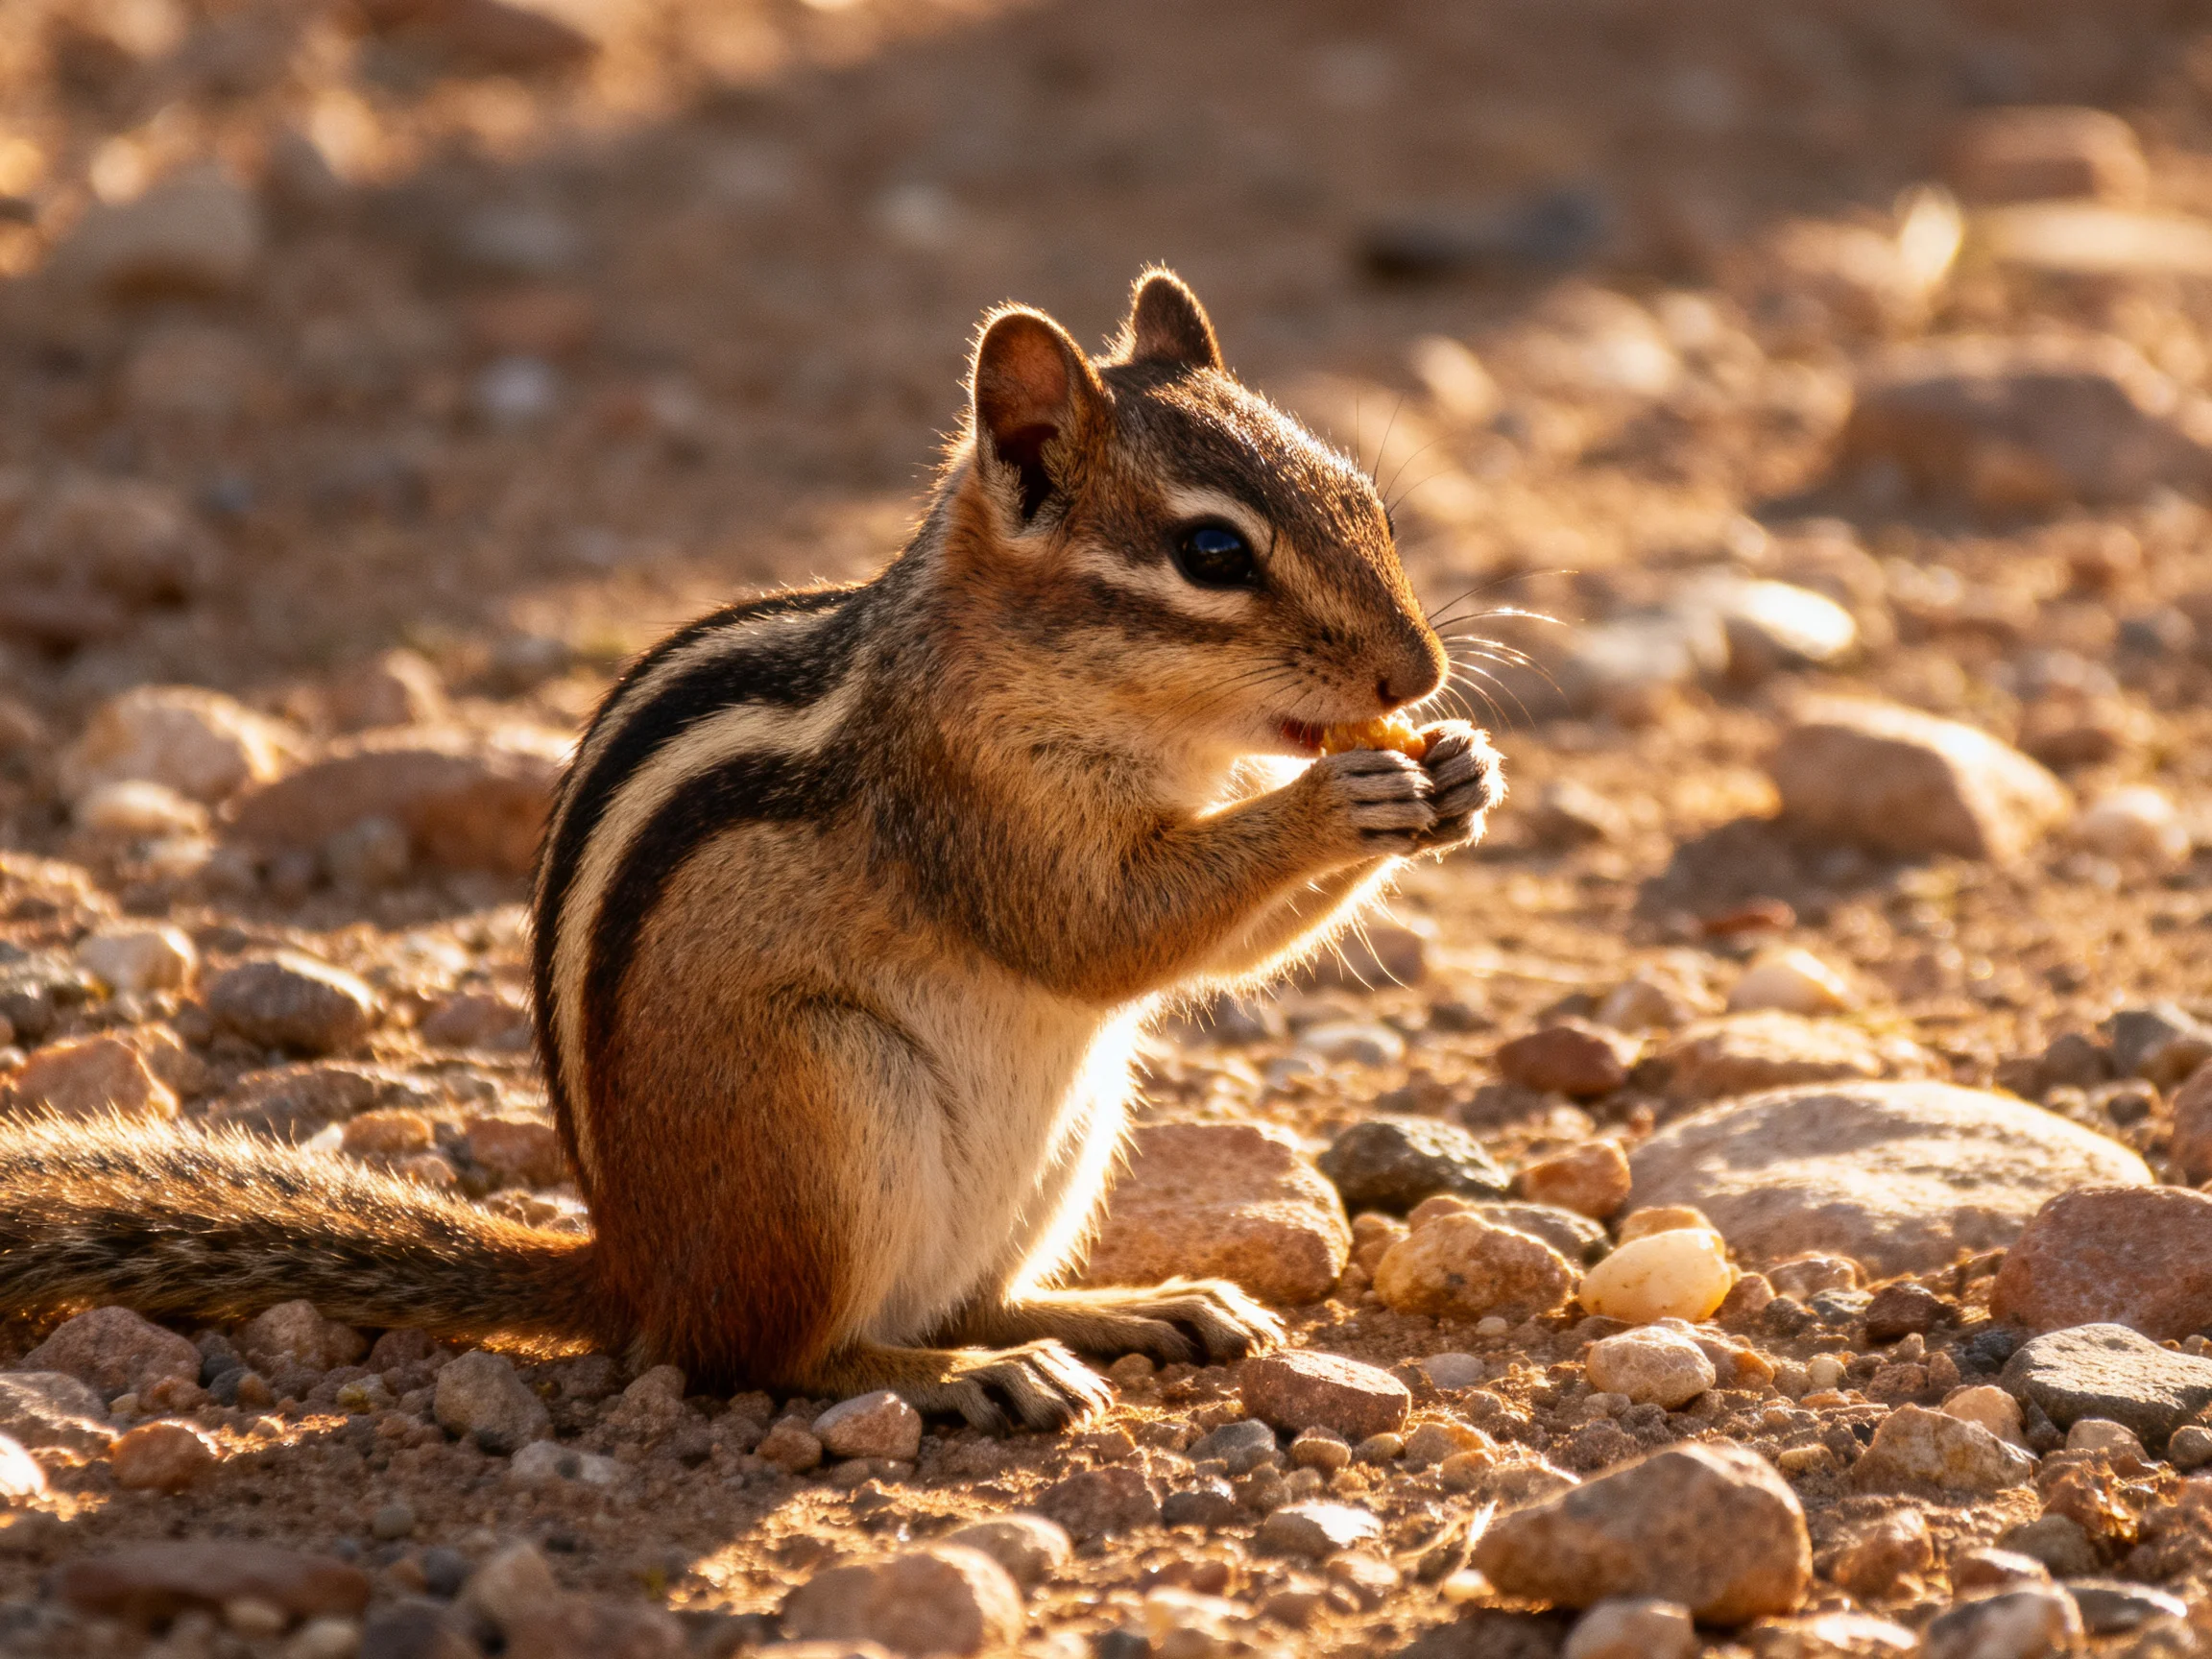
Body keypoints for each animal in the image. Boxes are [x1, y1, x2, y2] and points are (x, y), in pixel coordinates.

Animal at [0, 271, 1502, 1431]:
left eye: (1364, 498)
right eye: (1212, 554)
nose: (1417, 672)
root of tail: (634, 1268)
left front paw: (1460, 772)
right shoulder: (972, 809)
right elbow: (1108, 932)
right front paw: (1336, 802)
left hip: (1074, 1127)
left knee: (963, 1294)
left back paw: (1131, 1308)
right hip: (824, 1111)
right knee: (775, 1356)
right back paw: (973, 1378)